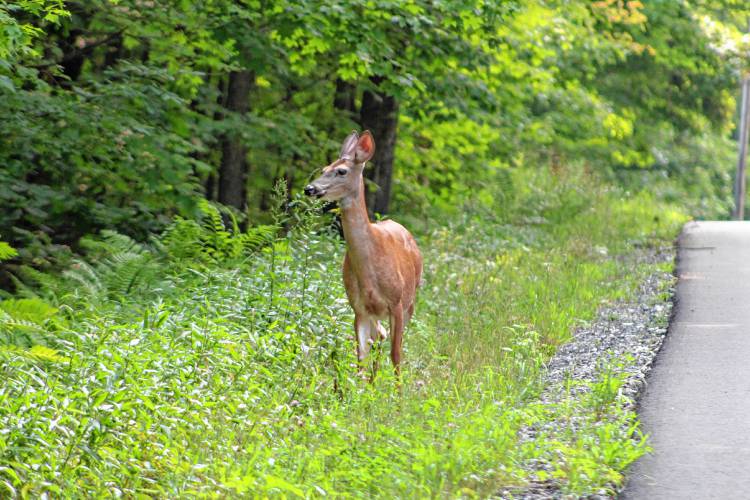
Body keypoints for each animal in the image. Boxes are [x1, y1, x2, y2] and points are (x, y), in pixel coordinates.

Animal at [306, 130, 424, 378]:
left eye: (342, 171)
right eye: (324, 168)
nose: (309, 189)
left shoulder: (396, 303)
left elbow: (396, 356)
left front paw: (399, 390)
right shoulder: (359, 307)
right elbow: (361, 357)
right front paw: (361, 387)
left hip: (410, 301)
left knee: (392, 341)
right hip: (375, 313)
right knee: (379, 336)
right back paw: (373, 380)